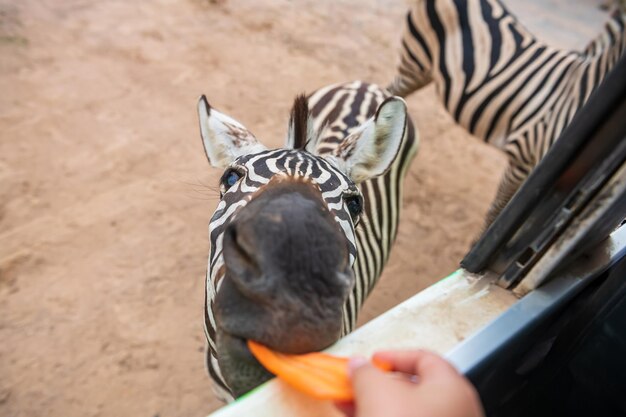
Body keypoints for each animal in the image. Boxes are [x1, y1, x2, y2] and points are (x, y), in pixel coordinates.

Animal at [386, 0, 624, 228]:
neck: (582, 88)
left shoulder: (537, 169)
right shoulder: (522, 157)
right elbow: (500, 211)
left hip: (425, 70)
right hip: (416, 60)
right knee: (392, 91)